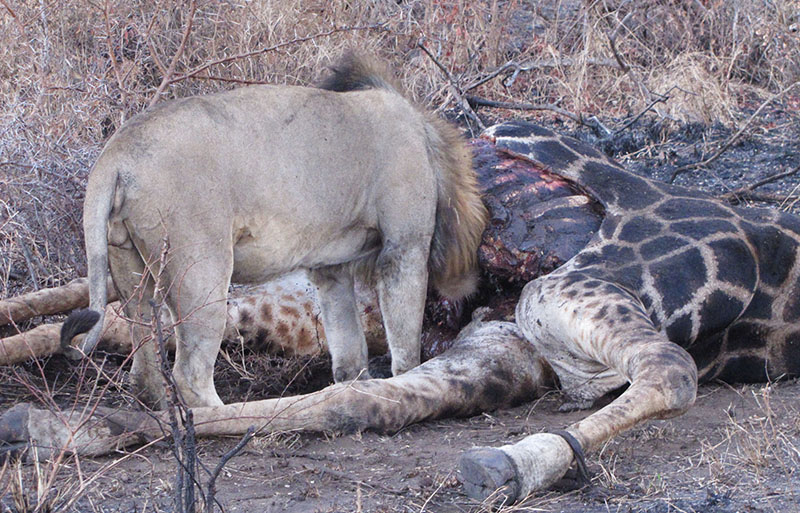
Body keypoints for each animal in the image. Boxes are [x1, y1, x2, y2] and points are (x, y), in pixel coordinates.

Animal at [60, 54, 487, 409]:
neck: (424, 133)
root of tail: (116, 152)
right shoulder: (404, 246)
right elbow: (404, 336)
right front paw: (404, 384)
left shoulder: (330, 266)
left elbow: (346, 338)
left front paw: (355, 386)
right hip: (202, 269)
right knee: (189, 372)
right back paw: (225, 417)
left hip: (127, 263)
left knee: (144, 358)